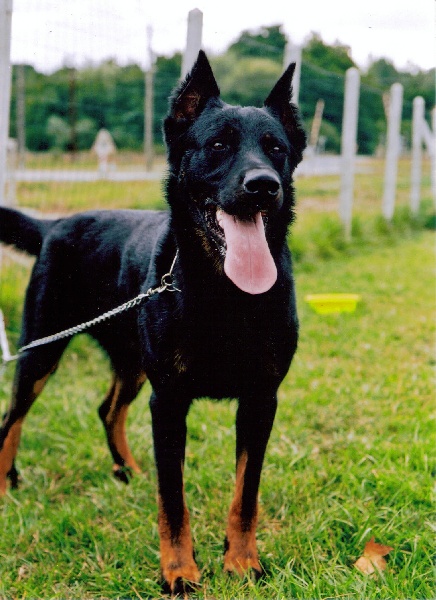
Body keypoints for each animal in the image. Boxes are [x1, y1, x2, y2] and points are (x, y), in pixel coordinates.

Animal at [0, 52, 304, 596]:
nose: (263, 186)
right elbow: (174, 499)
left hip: (130, 364)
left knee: (107, 409)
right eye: (218, 144)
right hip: (39, 352)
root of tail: (53, 224)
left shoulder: (260, 401)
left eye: (276, 149)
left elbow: (245, 494)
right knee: (10, 420)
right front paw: (179, 571)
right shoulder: (169, 403)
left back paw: (128, 470)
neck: (223, 293)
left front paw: (242, 561)